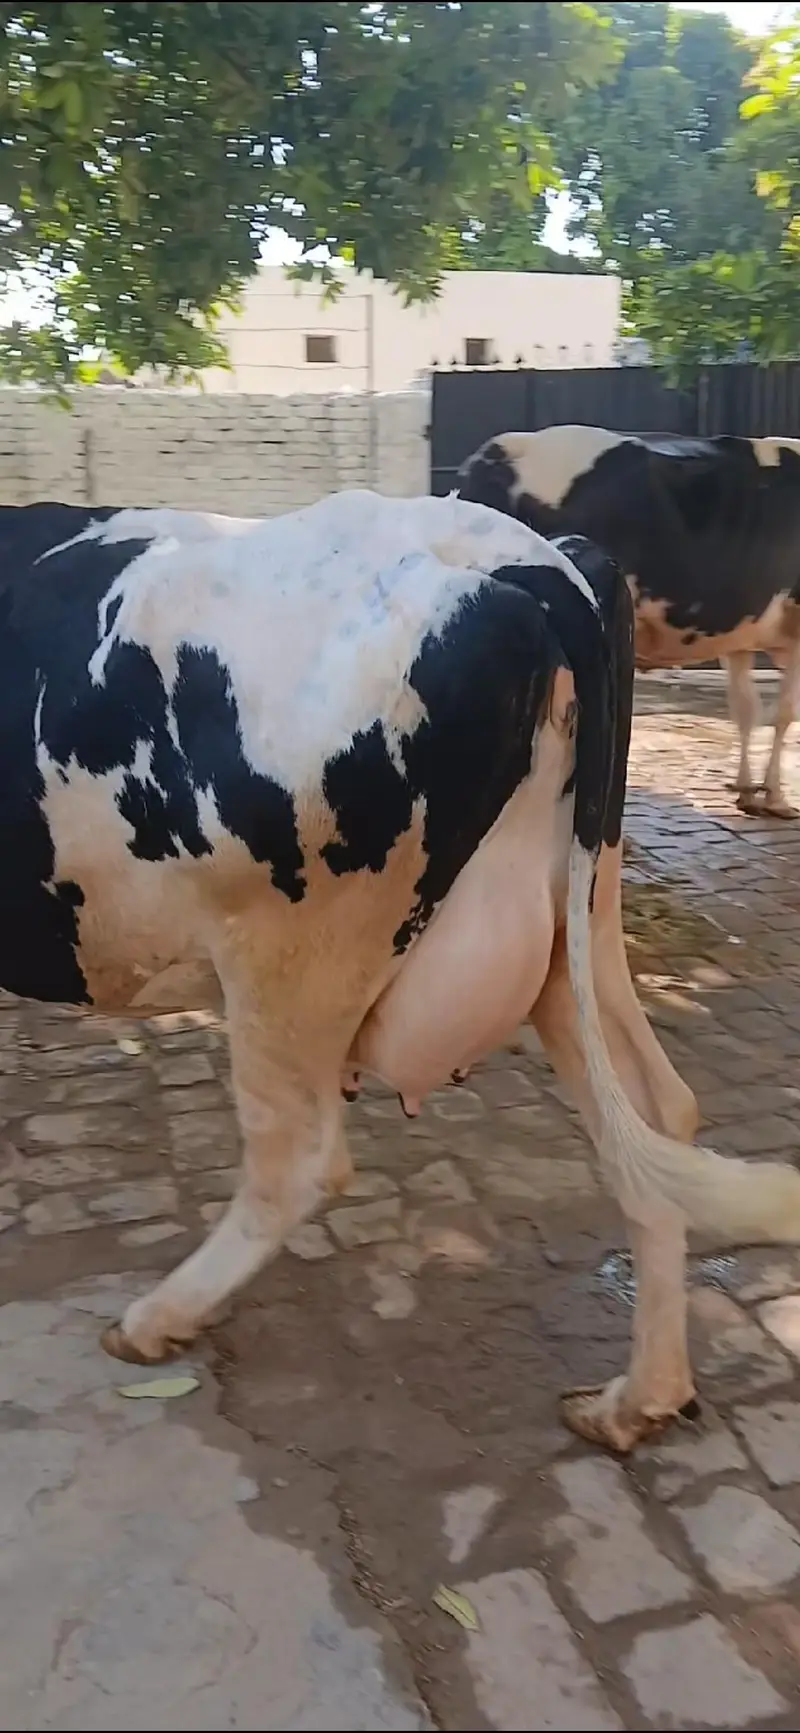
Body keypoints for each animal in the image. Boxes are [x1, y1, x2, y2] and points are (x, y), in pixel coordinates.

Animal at [3, 488, 800, 1456]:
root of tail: (517, 552)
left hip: (287, 956)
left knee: (299, 1159)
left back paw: (157, 1316)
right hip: (578, 919)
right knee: (654, 1113)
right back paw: (636, 1399)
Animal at [458, 425, 800, 818]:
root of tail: (506, 450)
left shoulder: (740, 634)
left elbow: (747, 710)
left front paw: (747, 789)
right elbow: (784, 714)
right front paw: (776, 796)